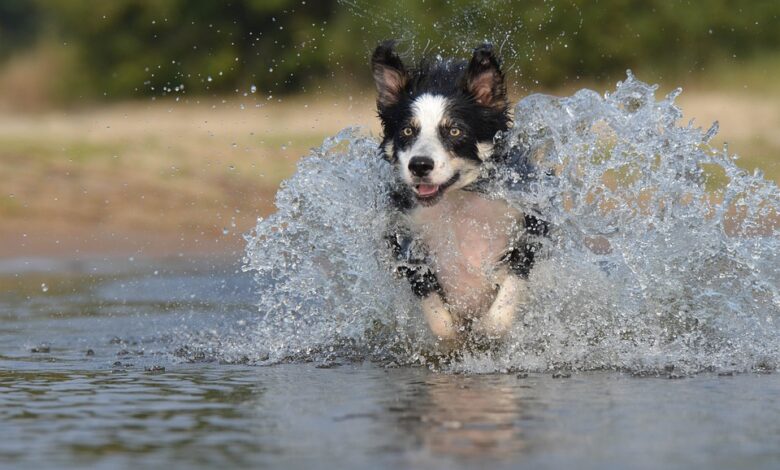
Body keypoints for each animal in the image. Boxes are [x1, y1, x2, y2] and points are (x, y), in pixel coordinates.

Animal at [374, 40, 544, 342]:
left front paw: (486, 330)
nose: (419, 165)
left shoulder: (530, 219)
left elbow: (505, 299)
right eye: (407, 131)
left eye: (454, 131)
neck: (456, 200)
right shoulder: (402, 234)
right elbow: (439, 317)